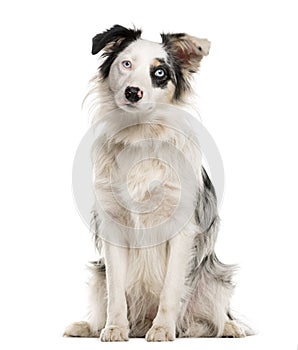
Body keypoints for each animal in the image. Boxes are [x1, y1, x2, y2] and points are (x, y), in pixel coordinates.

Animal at [63, 23, 251, 340]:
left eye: (160, 72)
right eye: (126, 64)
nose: (133, 92)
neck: (140, 136)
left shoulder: (181, 230)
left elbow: (171, 289)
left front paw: (163, 328)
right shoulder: (113, 227)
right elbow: (116, 291)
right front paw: (115, 328)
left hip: (215, 278)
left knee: (215, 313)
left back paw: (230, 327)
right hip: (97, 278)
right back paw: (86, 326)